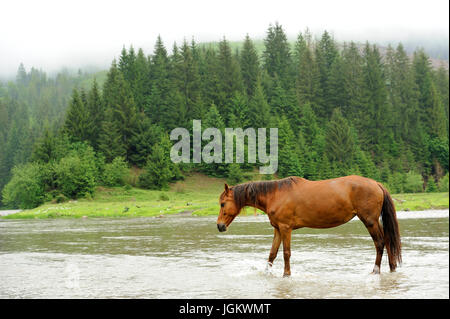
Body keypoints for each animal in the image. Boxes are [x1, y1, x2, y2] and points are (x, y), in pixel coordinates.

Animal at [216, 175, 402, 278]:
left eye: (223, 204)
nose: (219, 226)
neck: (275, 194)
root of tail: (376, 184)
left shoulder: (285, 228)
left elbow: (286, 253)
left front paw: (286, 274)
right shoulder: (277, 229)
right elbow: (272, 254)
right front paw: (266, 273)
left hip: (369, 221)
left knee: (380, 243)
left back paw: (376, 270)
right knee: (387, 240)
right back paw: (392, 268)